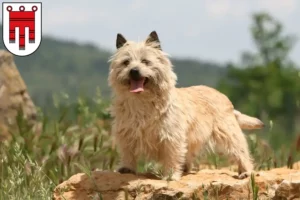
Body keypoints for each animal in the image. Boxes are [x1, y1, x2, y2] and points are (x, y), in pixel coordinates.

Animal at [107, 31, 262, 181]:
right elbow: (128, 152)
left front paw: (170, 175)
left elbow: (172, 156)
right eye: (126, 62)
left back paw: (246, 172)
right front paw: (127, 168)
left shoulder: (171, 137)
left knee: (240, 151)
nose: (133, 71)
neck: (142, 101)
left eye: (145, 61)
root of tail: (223, 96)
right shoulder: (126, 133)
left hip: (228, 133)